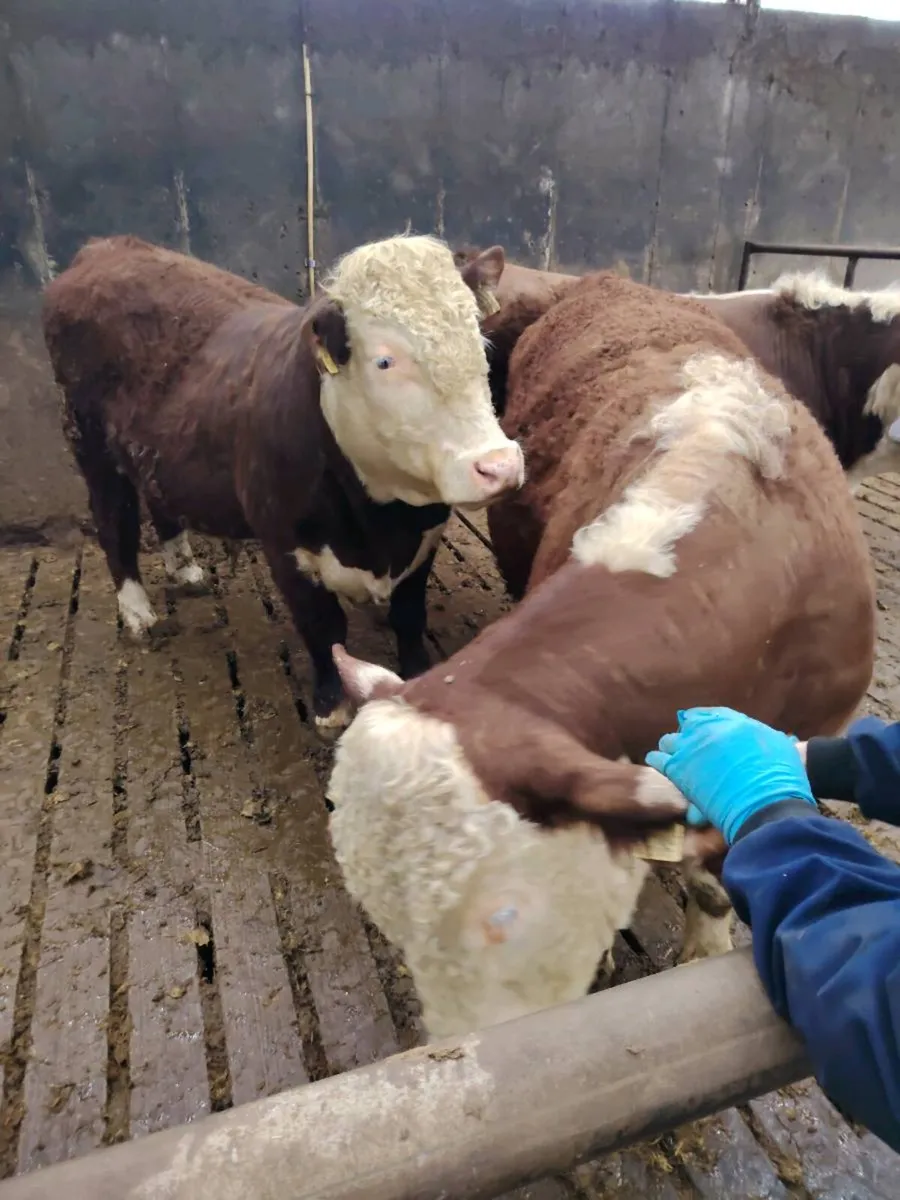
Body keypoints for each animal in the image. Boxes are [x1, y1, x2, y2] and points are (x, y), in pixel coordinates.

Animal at [43, 234, 519, 735]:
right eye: (384, 360)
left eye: (482, 346)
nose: (500, 465)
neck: (382, 524)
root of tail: (107, 246)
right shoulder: (284, 544)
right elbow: (323, 627)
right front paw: (331, 706)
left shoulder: (425, 538)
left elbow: (409, 617)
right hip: (89, 442)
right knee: (114, 522)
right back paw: (138, 614)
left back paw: (184, 570)